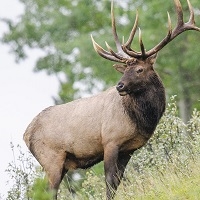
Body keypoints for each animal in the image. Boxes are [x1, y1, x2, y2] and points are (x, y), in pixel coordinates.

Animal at [23, 0, 200, 199]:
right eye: (125, 70)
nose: (119, 86)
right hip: (51, 158)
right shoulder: (110, 141)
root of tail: (26, 134)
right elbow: (109, 180)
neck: (141, 119)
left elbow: (117, 181)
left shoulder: (128, 149)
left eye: (139, 69)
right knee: (47, 191)